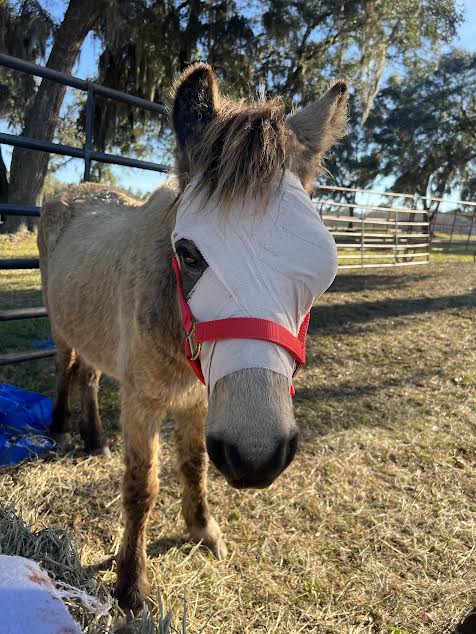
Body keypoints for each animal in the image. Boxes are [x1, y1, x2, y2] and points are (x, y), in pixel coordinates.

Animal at [37, 63, 348, 608]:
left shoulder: (199, 400)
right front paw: (130, 583)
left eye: (324, 267)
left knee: (89, 377)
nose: (256, 457)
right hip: (60, 324)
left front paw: (203, 531)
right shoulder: (143, 402)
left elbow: (195, 465)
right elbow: (141, 487)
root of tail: (76, 191)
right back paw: (59, 428)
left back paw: (94, 440)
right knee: (65, 367)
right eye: (188, 254)